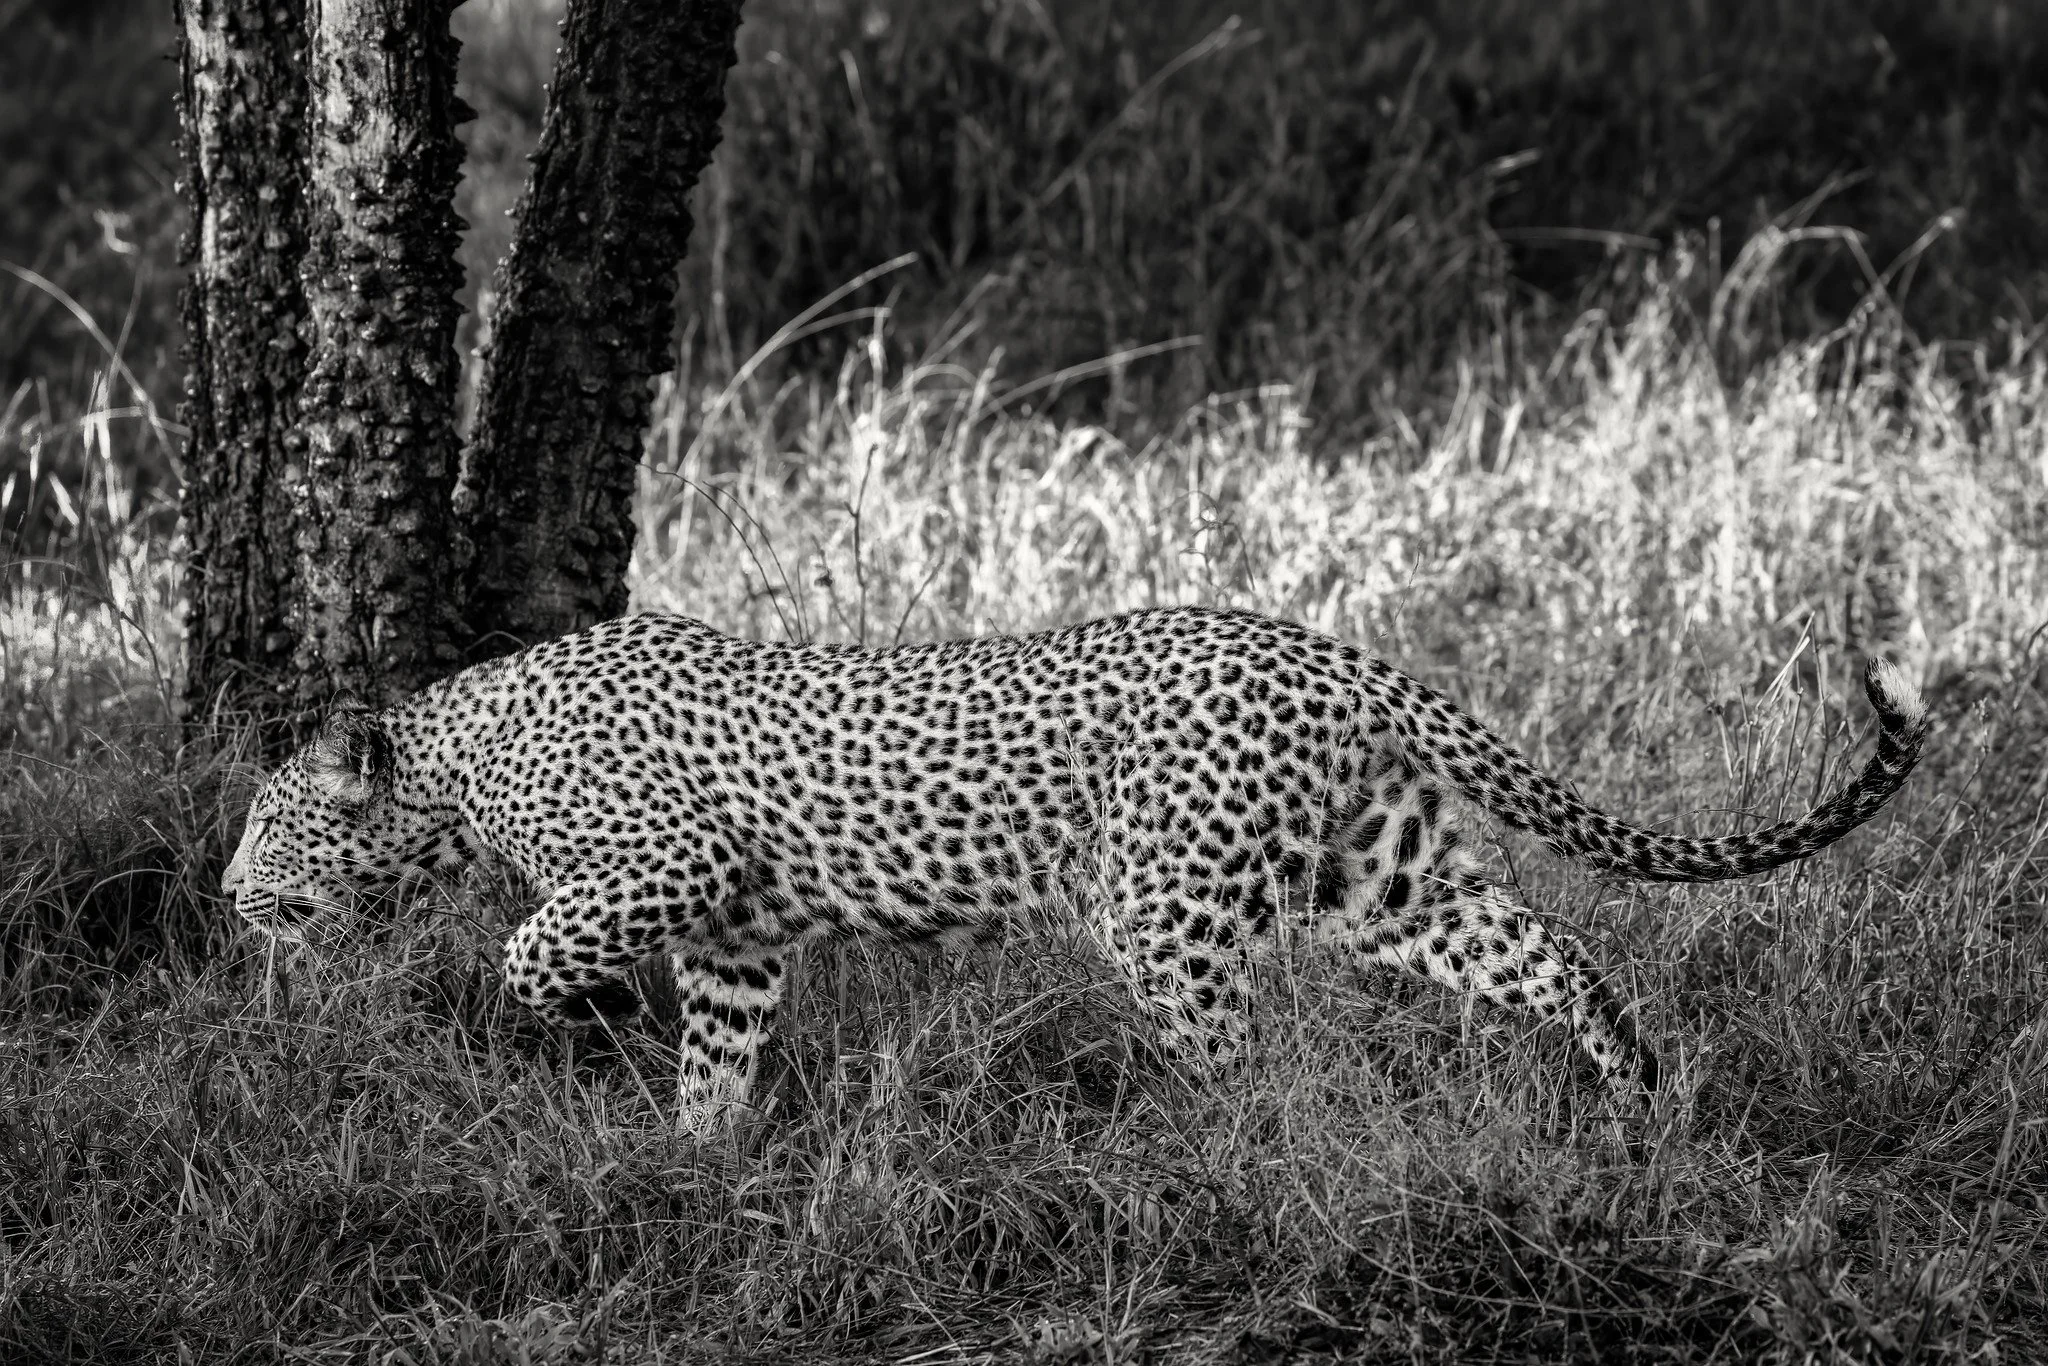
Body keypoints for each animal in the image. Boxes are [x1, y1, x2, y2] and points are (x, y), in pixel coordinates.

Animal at [223, 606, 1927, 1124]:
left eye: (270, 824)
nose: (232, 897)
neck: (452, 756)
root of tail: (1321, 647)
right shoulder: (733, 937)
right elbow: (717, 1051)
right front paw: (694, 1160)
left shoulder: (667, 863)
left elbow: (532, 944)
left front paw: (539, 1010)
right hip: (1382, 872)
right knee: (1552, 950)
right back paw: (1641, 1099)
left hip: (1162, 908)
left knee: (1253, 1063)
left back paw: (1245, 1171)